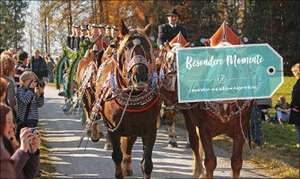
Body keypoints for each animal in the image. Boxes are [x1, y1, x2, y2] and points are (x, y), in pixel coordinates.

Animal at [89, 21, 161, 179]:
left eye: (148, 47)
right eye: (126, 47)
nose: (139, 76)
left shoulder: (150, 131)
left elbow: (147, 164)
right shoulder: (113, 130)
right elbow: (117, 156)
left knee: (128, 145)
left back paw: (127, 165)